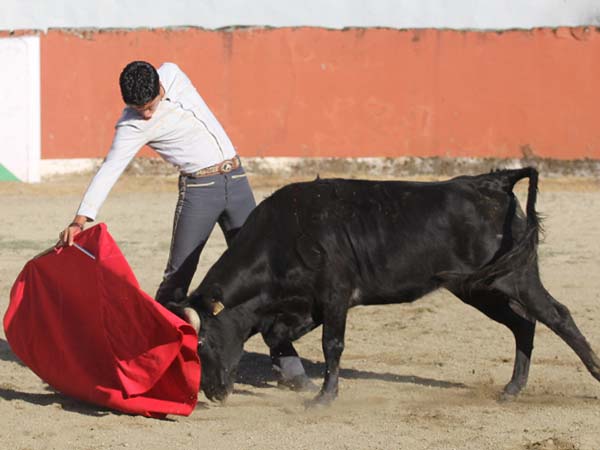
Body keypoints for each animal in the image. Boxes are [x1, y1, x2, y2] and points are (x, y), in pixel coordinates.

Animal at [166, 169, 600, 404]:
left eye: (201, 342)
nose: (212, 393)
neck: (285, 236)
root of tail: (493, 182)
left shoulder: (335, 294)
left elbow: (332, 344)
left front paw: (324, 398)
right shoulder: (306, 304)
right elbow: (277, 335)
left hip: (515, 277)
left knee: (557, 316)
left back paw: (594, 375)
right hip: (479, 288)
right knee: (523, 323)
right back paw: (512, 389)